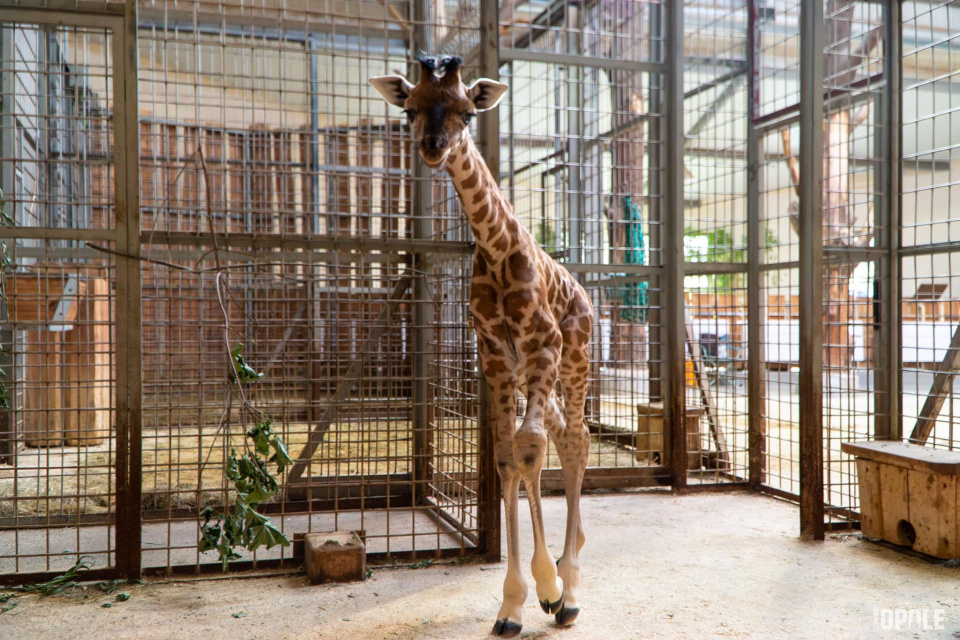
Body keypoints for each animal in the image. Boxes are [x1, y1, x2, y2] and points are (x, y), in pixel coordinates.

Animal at [374, 56, 592, 640]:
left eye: (468, 112)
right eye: (411, 108)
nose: (433, 146)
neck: (495, 251)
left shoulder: (543, 347)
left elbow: (529, 448)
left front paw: (547, 589)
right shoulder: (495, 361)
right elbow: (505, 458)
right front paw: (515, 603)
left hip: (574, 364)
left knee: (575, 439)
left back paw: (571, 586)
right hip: (537, 376)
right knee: (563, 437)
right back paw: (565, 576)